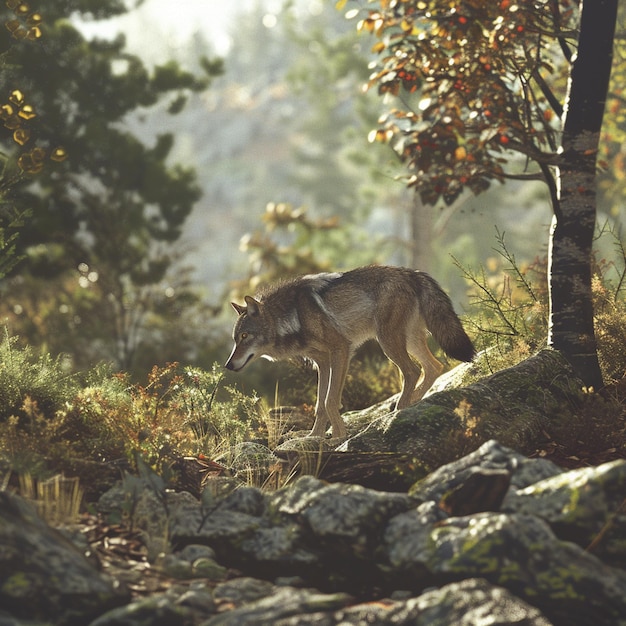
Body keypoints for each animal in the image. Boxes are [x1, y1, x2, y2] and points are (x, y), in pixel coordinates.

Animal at [224, 266, 472, 436]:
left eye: (245, 336)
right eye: (235, 339)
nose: (228, 365)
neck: (294, 316)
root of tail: (412, 272)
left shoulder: (341, 350)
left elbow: (330, 401)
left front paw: (338, 437)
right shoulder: (322, 363)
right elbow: (320, 405)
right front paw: (316, 436)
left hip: (388, 342)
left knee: (412, 371)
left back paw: (399, 410)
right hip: (408, 341)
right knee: (435, 367)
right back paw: (413, 402)